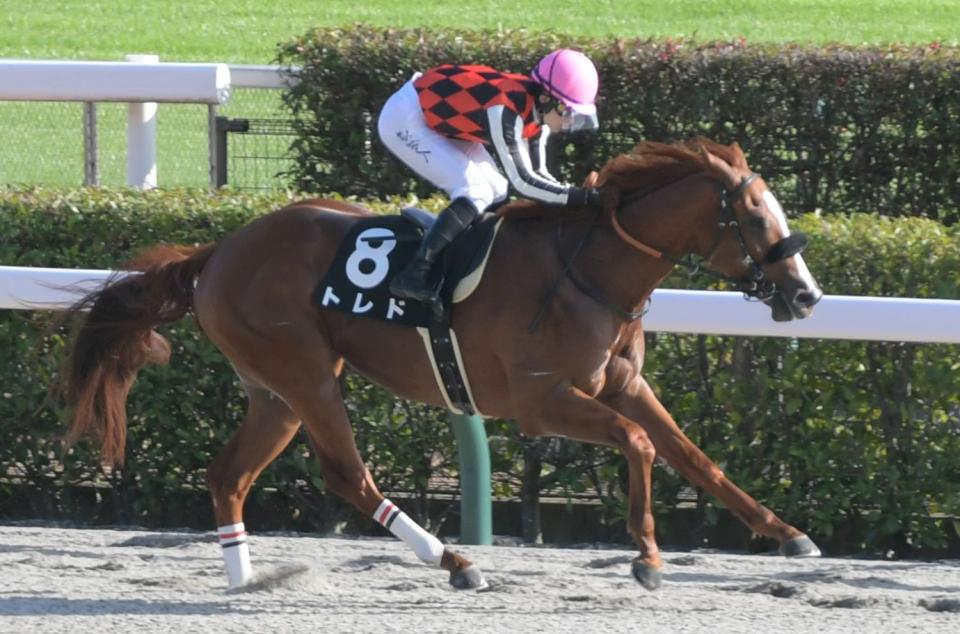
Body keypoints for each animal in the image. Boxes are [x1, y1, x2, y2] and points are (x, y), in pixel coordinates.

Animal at [60, 136, 824, 592]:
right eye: (757, 218)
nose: (807, 296)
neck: (588, 268)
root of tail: (217, 252)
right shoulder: (540, 400)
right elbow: (639, 444)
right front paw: (647, 558)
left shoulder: (622, 384)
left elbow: (694, 458)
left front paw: (788, 535)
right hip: (306, 375)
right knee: (348, 476)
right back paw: (455, 562)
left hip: (274, 392)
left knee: (229, 476)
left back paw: (244, 577)